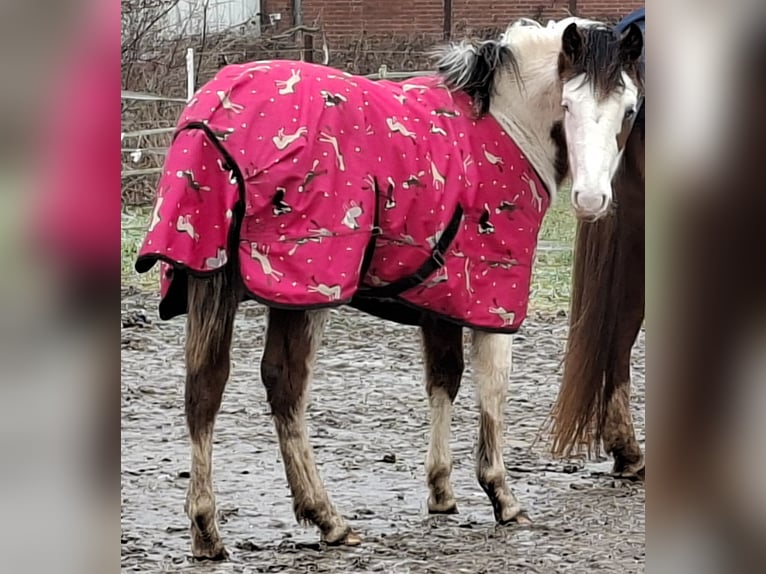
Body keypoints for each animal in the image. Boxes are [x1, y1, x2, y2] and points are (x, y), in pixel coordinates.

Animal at [134, 17, 644, 558]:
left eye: (629, 109)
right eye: (568, 105)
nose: (592, 199)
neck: (502, 122)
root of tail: (212, 116)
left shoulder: (444, 300)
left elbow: (444, 380)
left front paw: (441, 491)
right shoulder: (492, 298)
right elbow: (493, 389)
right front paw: (503, 496)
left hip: (215, 277)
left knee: (205, 391)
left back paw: (209, 529)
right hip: (305, 291)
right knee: (285, 387)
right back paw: (327, 518)